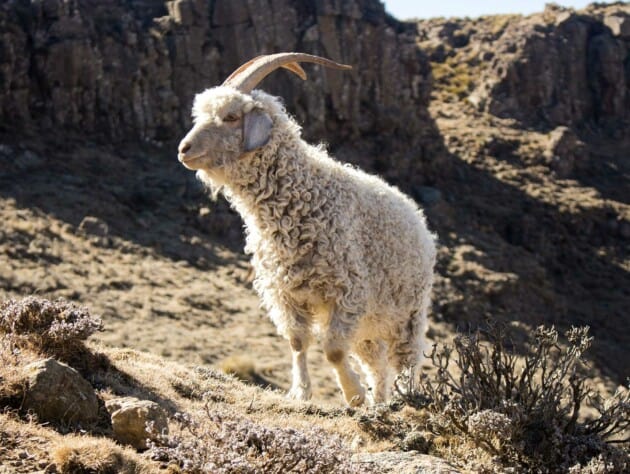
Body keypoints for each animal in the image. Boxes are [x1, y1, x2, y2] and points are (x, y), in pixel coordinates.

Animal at [177, 52, 434, 408]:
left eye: (230, 116)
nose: (184, 149)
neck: (305, 197)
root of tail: (417, 215)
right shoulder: (286, 294)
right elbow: (298, 343)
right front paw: (301, 392)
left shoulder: (348, 292)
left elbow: (333, 350)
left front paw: (353, 395)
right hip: (368, 329)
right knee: (378, 366)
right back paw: (380, 401)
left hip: (408, 313)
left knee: (406, 360)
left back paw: (404, 398)